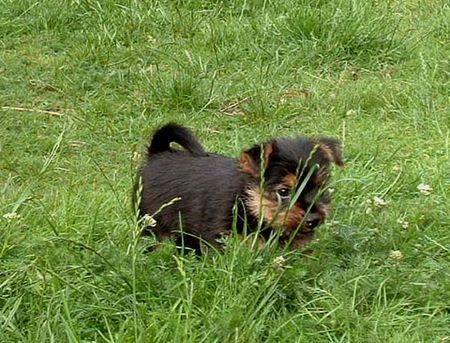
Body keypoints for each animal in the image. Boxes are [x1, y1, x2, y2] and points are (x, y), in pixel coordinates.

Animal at [134, 123, 344, 253]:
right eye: (284, 192)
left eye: (321, 189)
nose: (313, 219)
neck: (249, 203)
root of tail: (158, 154)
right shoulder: (220, 239)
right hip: (152, 224)